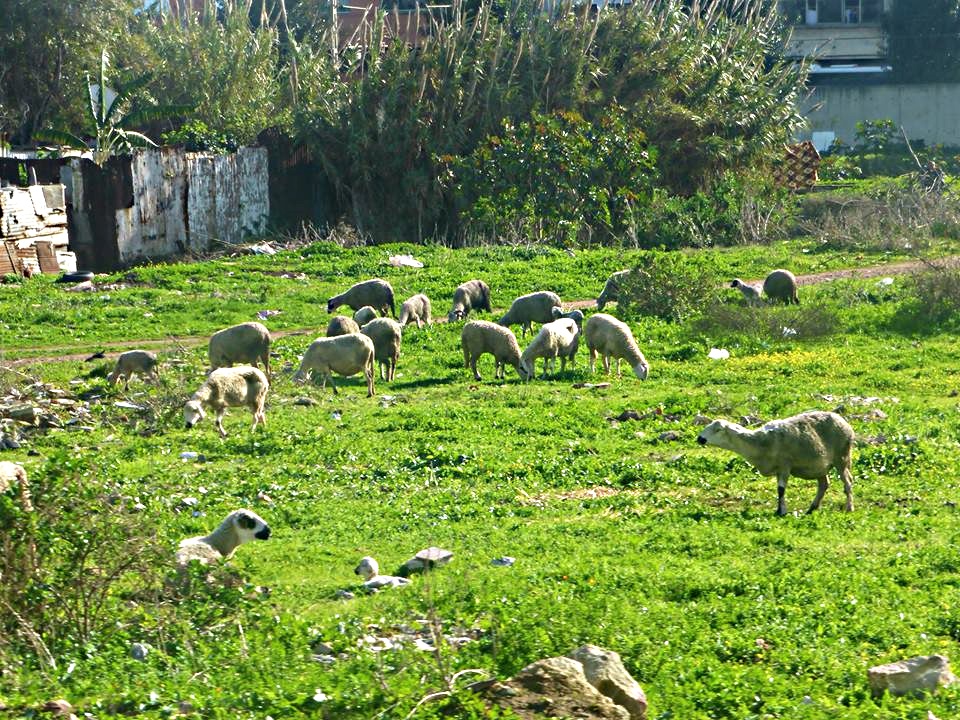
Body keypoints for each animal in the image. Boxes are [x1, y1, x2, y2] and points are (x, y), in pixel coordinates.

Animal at [696, 408, 856, 516]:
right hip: (819, 465)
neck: (759, 443)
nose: (700, 438)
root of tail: (843, 421)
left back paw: (849, 508)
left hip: (842, 457)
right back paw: (812, 508)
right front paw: (779, 509)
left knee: (847, 482)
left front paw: (782, 511)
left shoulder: (785, 466)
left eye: (717, 430)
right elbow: (779, 490)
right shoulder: (778, 469)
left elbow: (781, 490)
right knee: (823, 484)